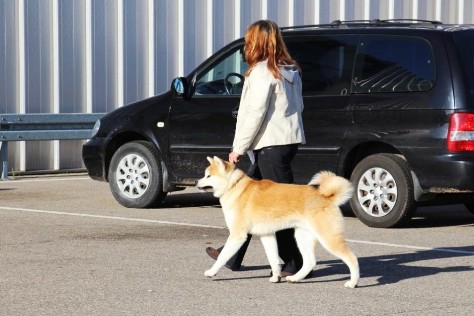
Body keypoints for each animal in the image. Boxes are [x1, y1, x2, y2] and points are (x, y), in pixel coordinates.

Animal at [196, 157, 360, 288]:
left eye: (208, 176)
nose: (197, 182)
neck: (234, 186)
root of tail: (327, 197)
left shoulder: (238, 235)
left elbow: (223, 256)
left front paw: (211, 272)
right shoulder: (266, 235)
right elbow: (273, 259)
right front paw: (276, 277)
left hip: (328, 238)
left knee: (352, 258)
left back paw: (353, 283)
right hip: (302, 237)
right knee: (309, 262)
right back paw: (295, 278)